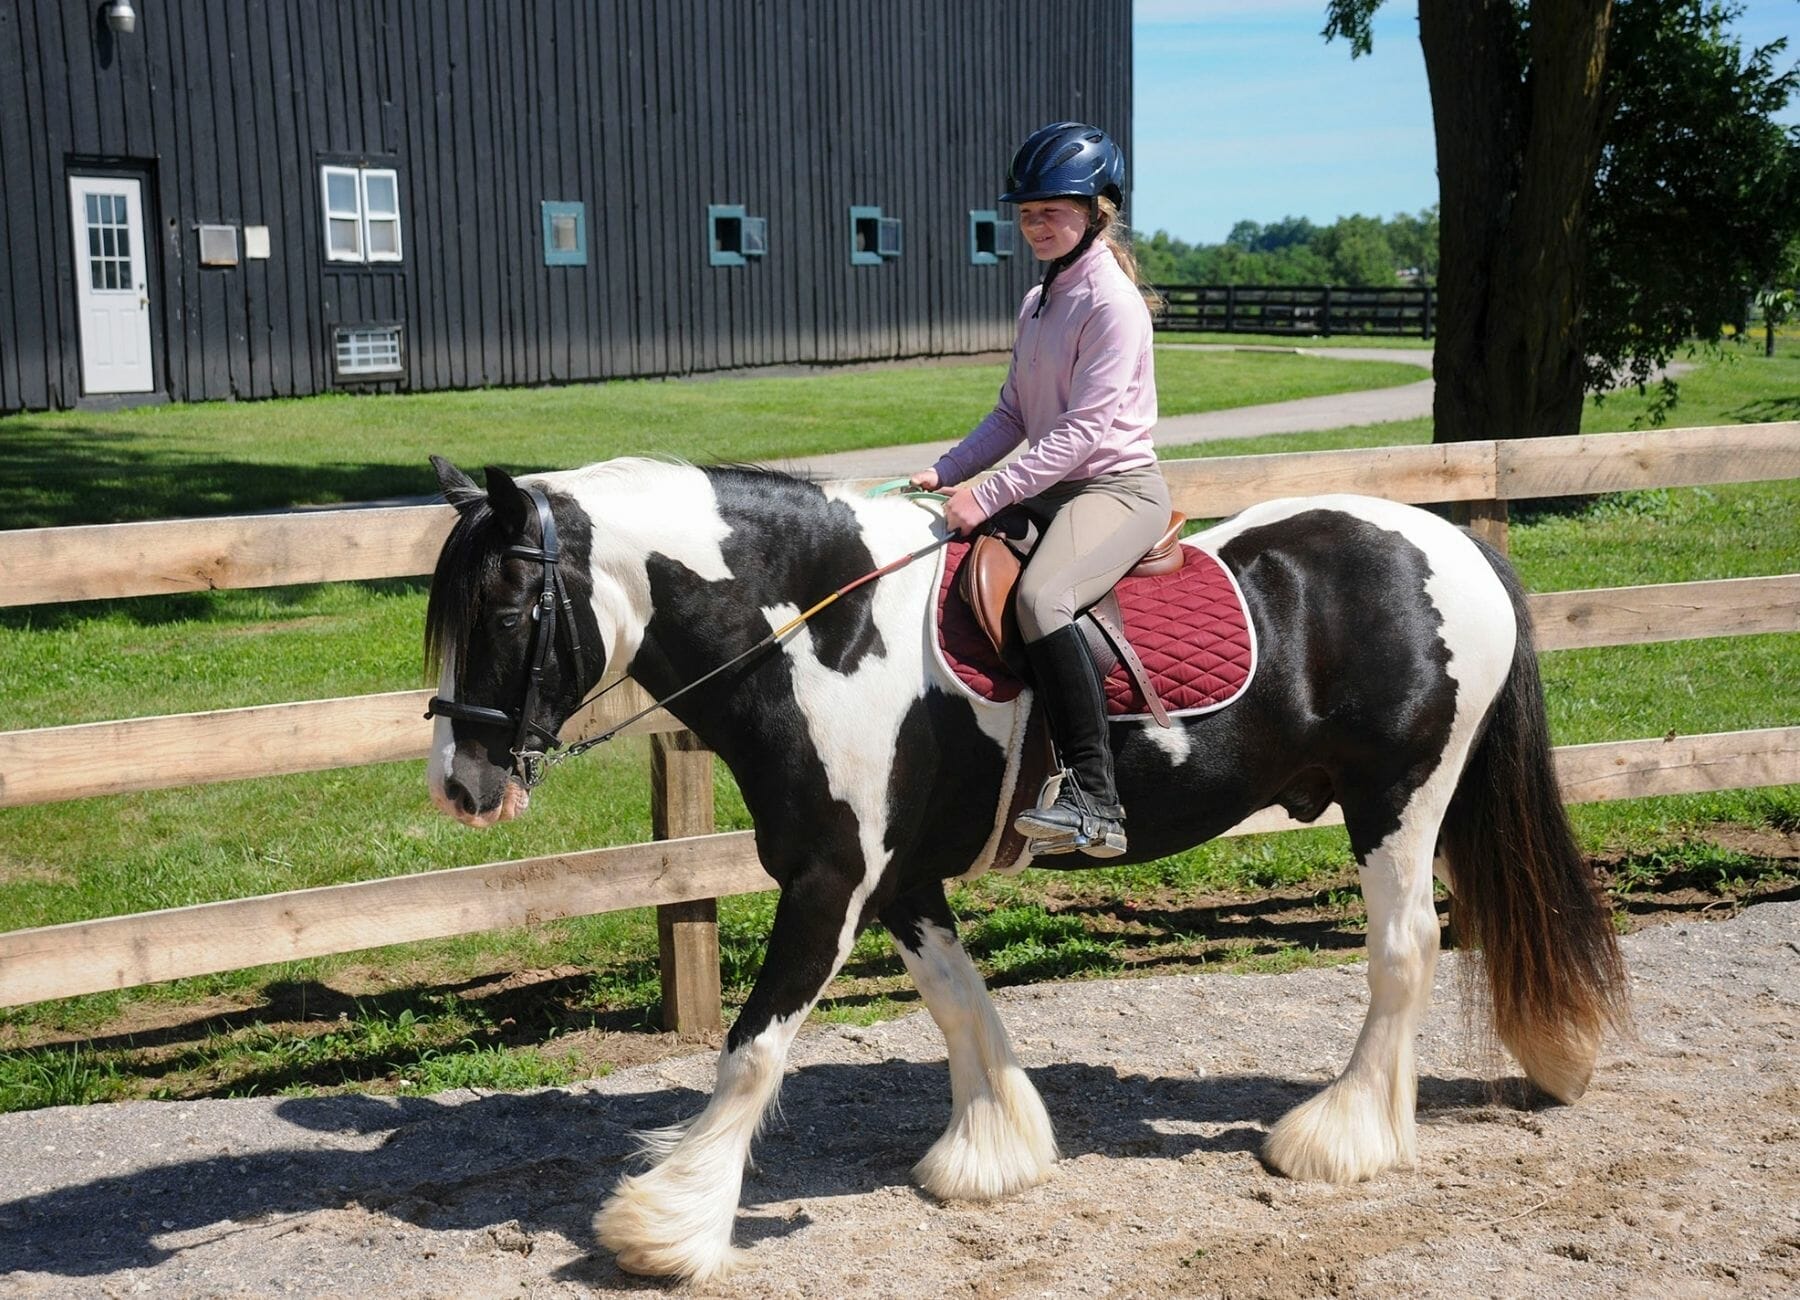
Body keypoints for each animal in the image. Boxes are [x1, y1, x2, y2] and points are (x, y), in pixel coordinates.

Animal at [421, 455, 1627, 1282]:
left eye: (506, 605)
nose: (459, 786)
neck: (829, 637)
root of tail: (1452, 545)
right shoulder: (899, 880)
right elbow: (958, 1001)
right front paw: (993, 1149)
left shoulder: (830, 881)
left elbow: (754, 1050)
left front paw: (668, 1223)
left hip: (1398, 798)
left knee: (1403, 950)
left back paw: (1340, 1138)